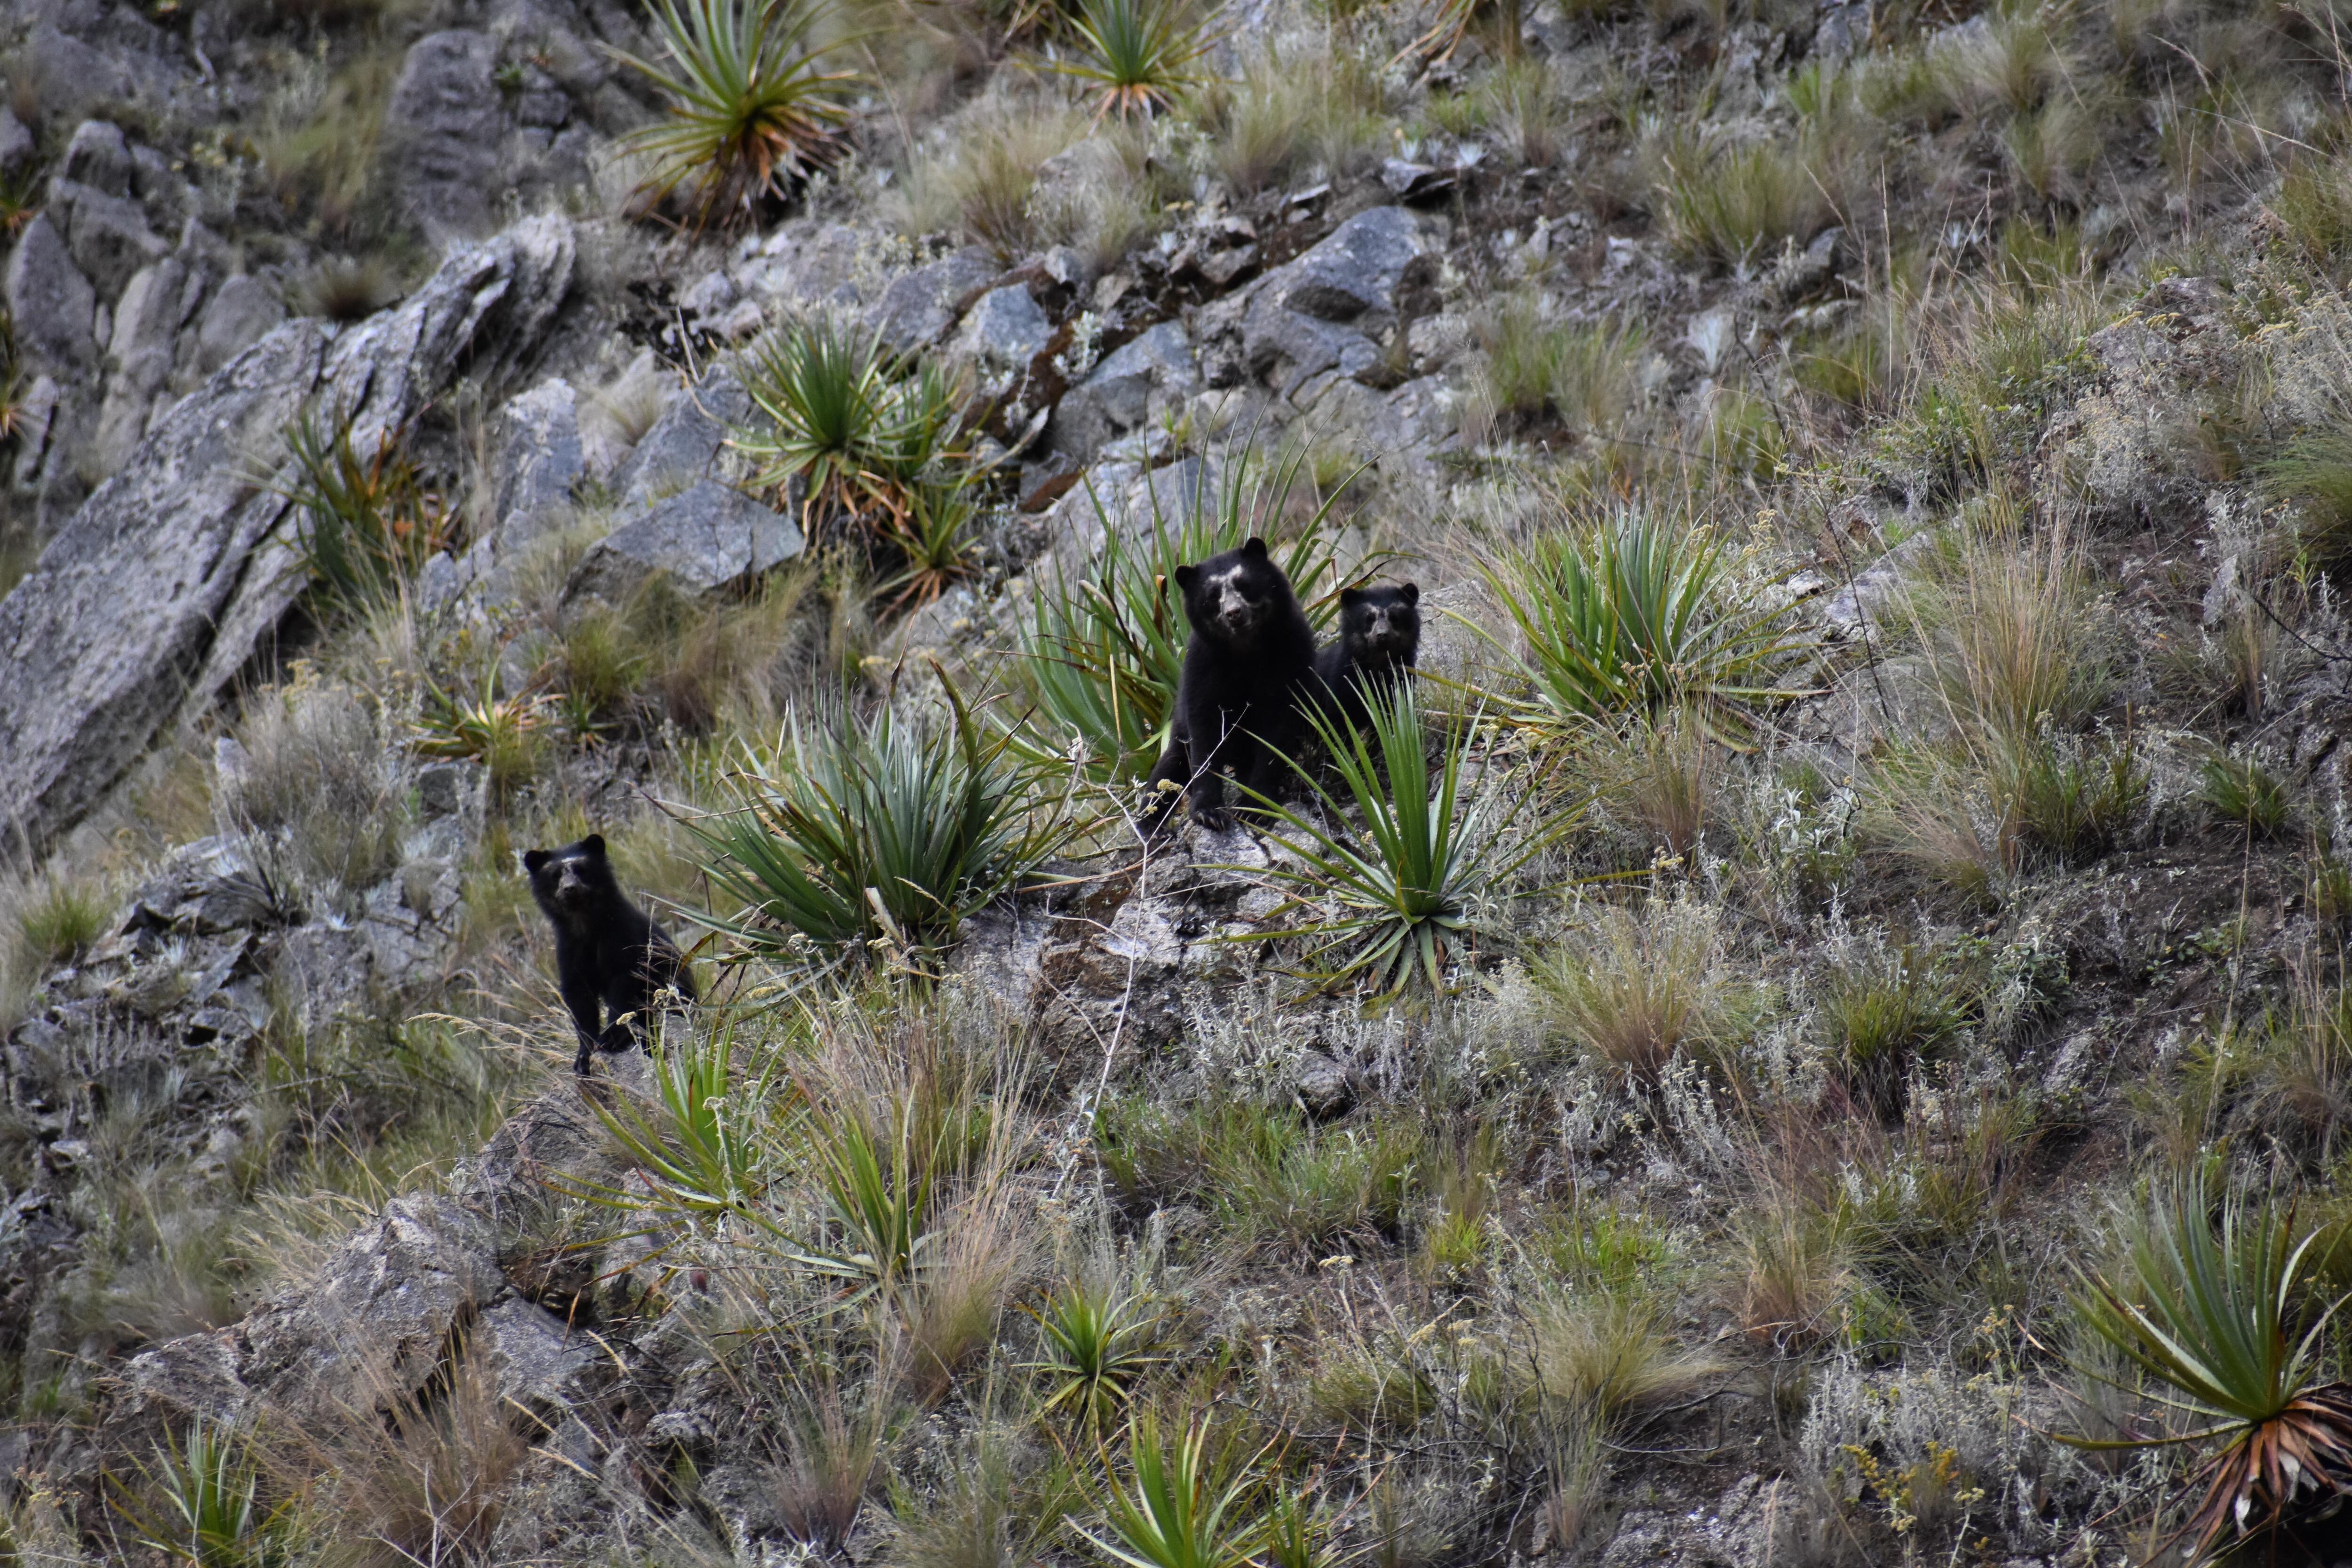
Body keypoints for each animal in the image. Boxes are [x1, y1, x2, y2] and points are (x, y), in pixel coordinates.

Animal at [522, 834, 696, 1076]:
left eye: (582, 869)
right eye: (555, 875)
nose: (570, 889)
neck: (585, 924)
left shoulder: (622, 935)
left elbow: (624, 979)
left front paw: (611, 1038)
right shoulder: (569, 950)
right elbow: (578, 996)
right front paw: (583, 1057)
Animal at [1141, 537, 1320, 833]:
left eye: (1245, 585)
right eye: (1212, 596)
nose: (1234, 613)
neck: (1245, 648)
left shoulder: (1290, 652)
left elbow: (1277, 730)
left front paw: (1257, 807)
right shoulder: (1203, 665)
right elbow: (1205, 731)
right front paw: (1209, 813)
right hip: (1177, 731)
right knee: (1167, 772)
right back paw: (1149, 824)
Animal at [1310, 582, 1422, 739]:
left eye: (1395, 617)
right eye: (1369, 618)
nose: (1382, 635)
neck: (1378, 664)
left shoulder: (1401, 683)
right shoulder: (1341, 684)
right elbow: (1337, 724)